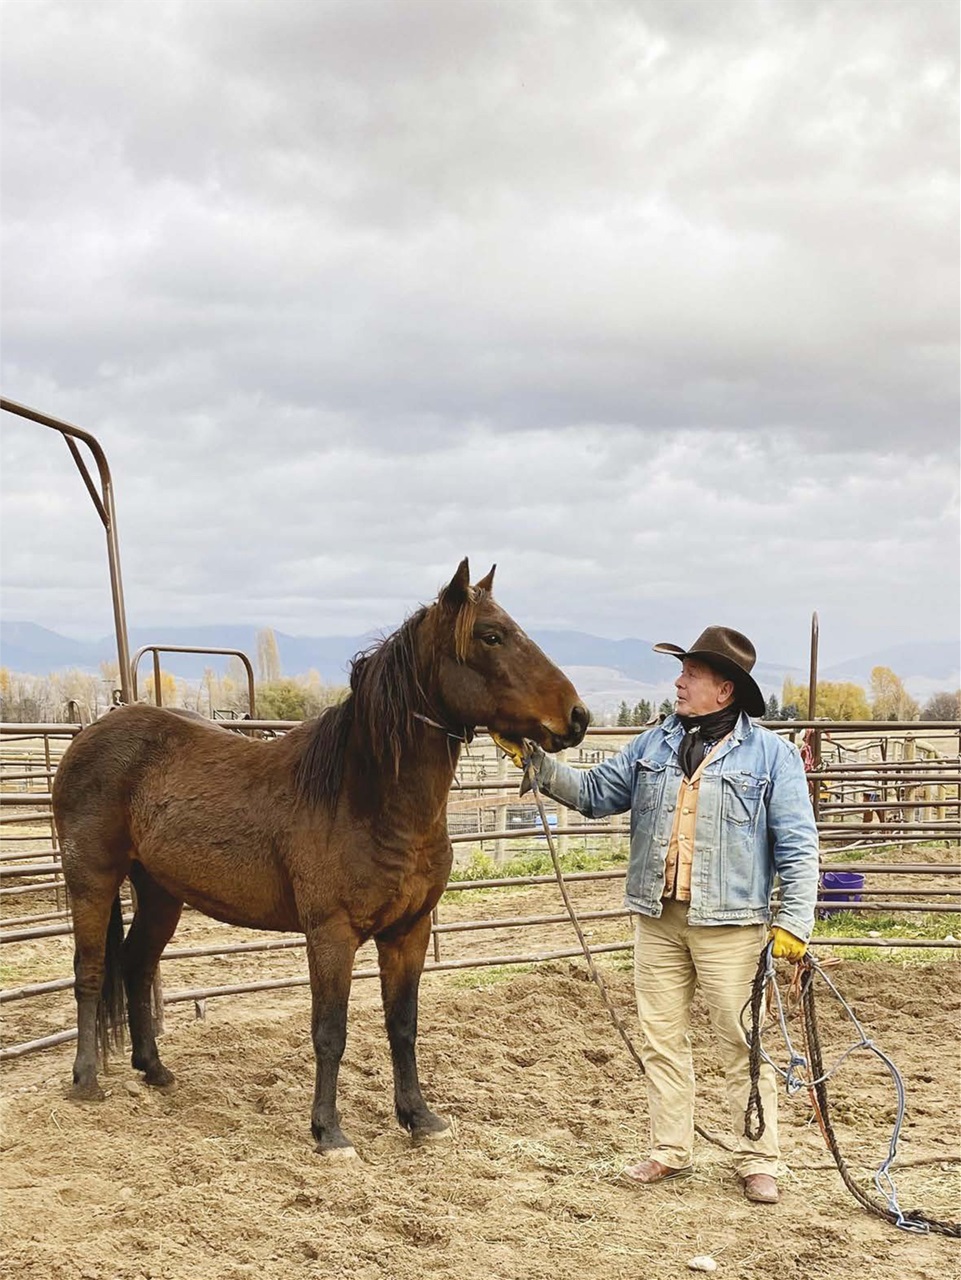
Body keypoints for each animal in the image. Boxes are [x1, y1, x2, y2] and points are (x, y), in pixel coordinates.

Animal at [52, 559, 589, 1157]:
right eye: (491, 636)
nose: (577, 716)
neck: (365, 800)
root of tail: (89, 734)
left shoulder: (409, 931)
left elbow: (403, 1025)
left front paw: (419, 1117)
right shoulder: (331, 934)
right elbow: (330, 1032)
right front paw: (329, 1131)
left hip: (160, 891)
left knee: (138, 964)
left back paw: (154, 1070)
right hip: (92, 880)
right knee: (91, 970)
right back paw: (87, 1080)